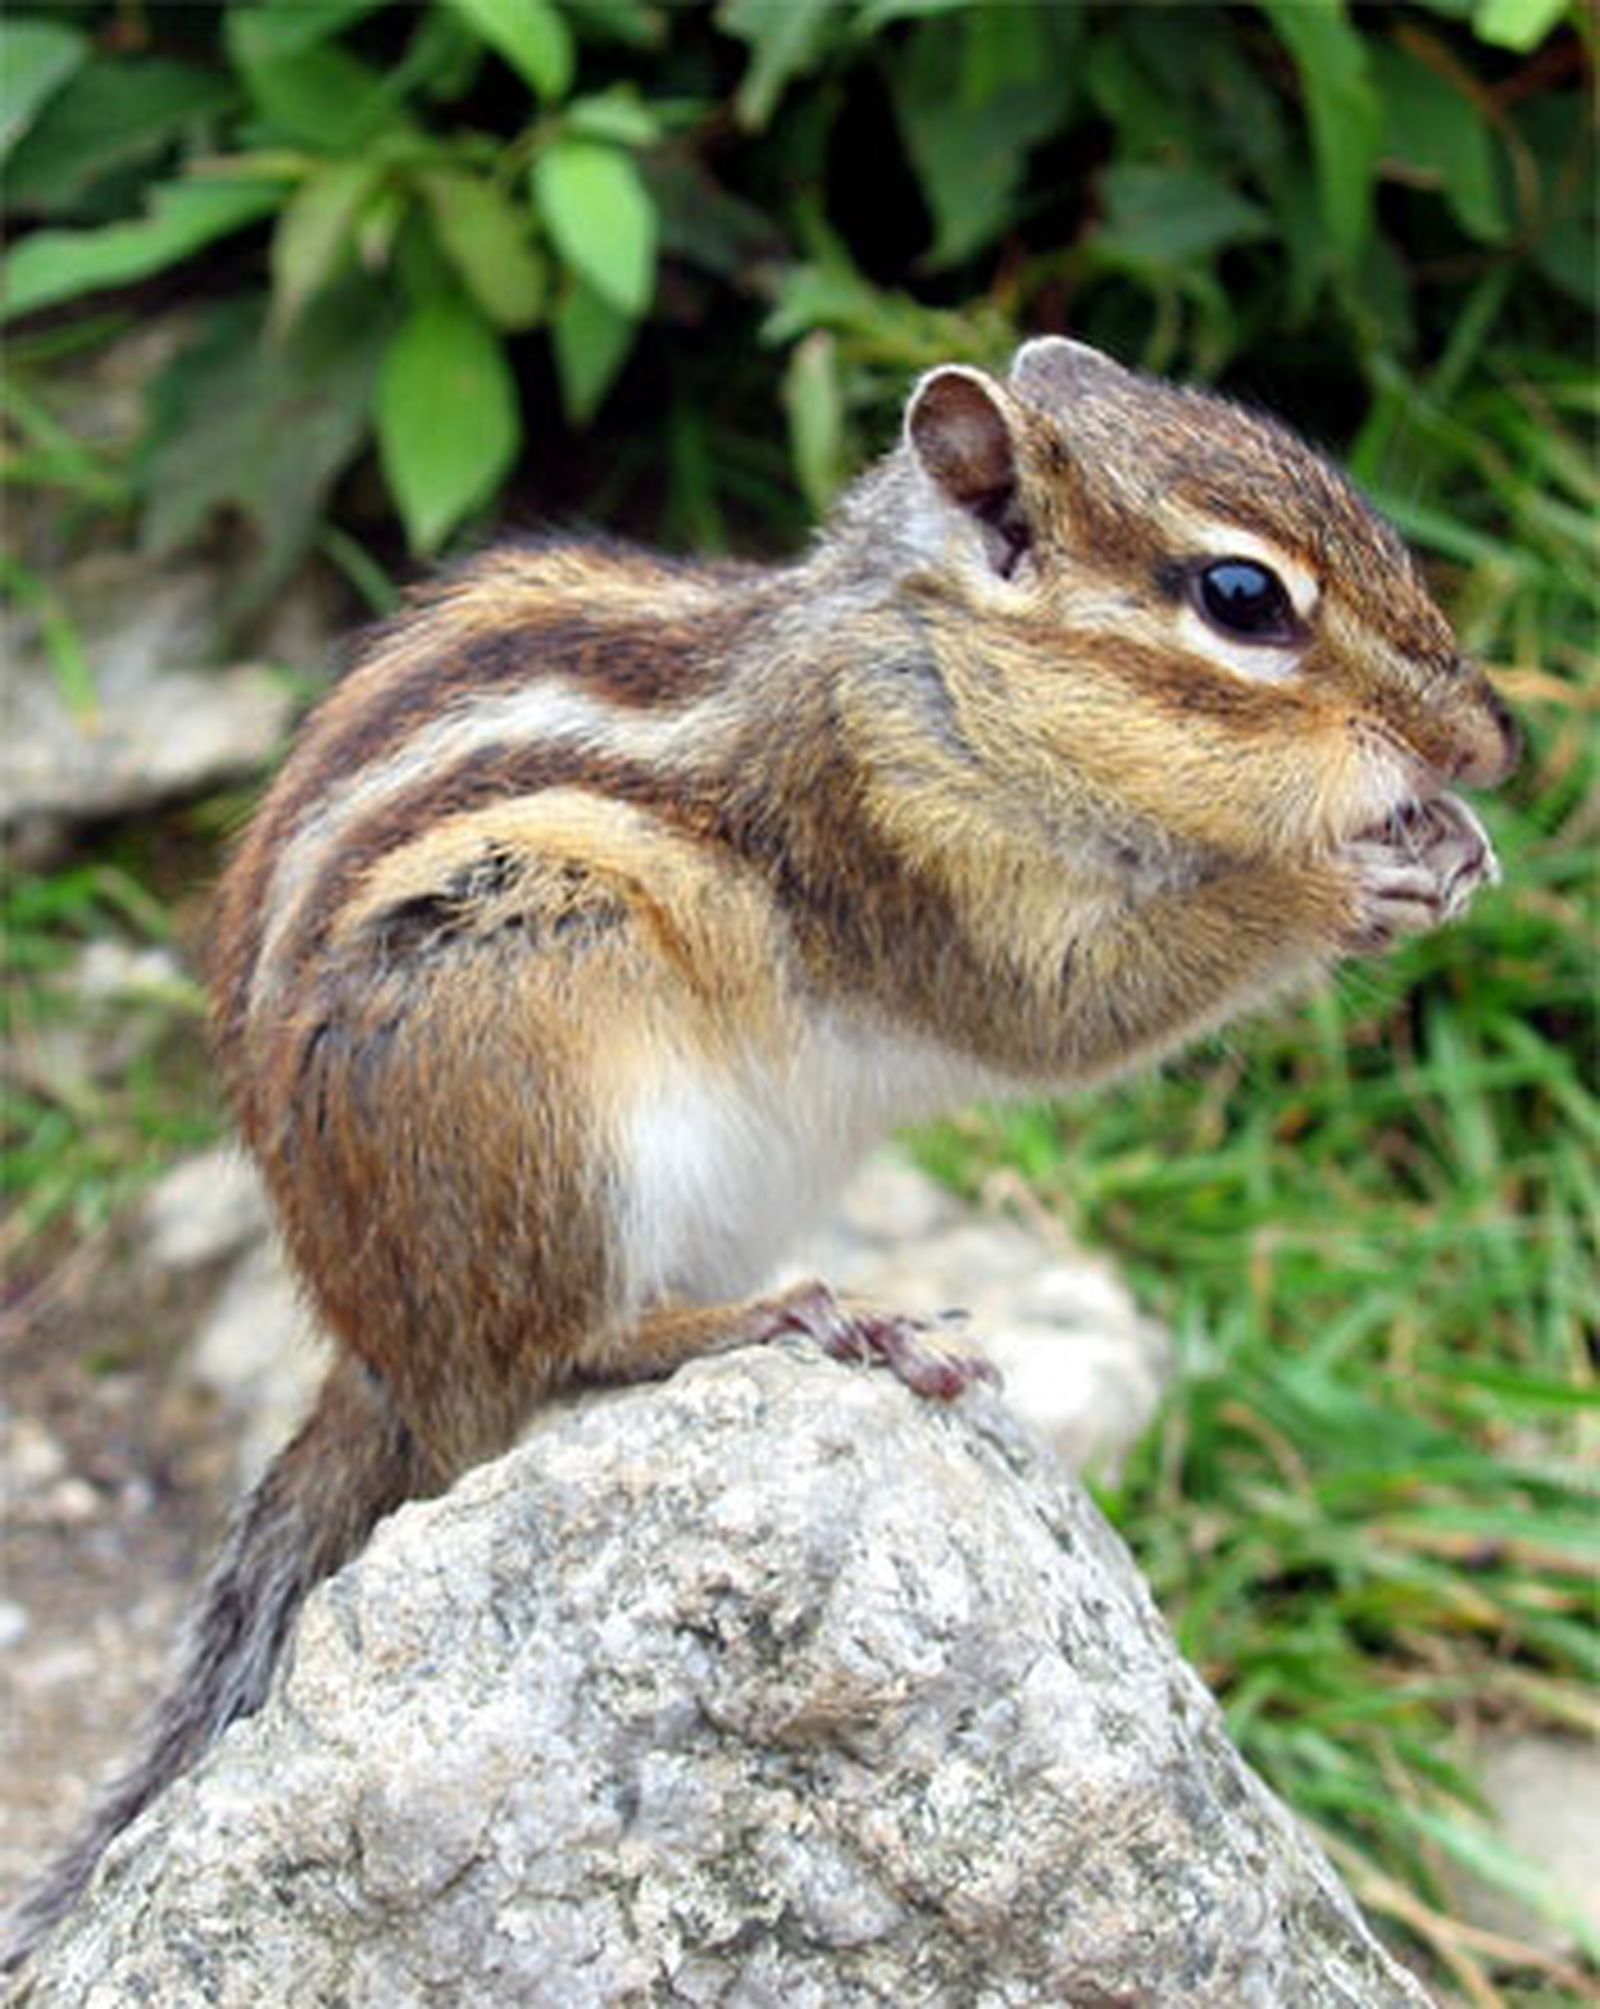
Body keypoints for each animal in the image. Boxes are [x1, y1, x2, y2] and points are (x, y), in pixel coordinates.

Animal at [4, 336, 1517, 1965]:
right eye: (1243, 599)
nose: (1494, 738)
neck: (937, 674)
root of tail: (378, 1349)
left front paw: (1454, 839)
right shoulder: (894, 841)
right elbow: (1077, 1007)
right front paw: (1337, 882)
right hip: (539, 1044)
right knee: (555, 1355)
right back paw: (801, 1319)